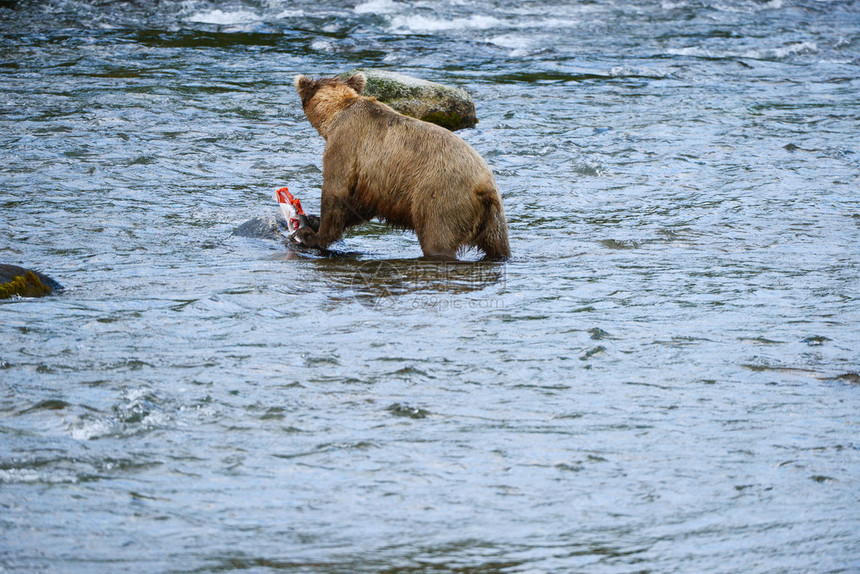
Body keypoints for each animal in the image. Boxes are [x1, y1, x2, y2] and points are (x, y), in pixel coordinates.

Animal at [296, 72, 510, 260]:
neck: (336, 113)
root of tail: (483, 188)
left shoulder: (345, 145)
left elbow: (336, 191)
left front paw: (310, 235)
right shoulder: (373, 180)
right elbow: (360, 204)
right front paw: (314, 219)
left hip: (442, 198)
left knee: (437, 238)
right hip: (494, 218)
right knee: (498, 246)